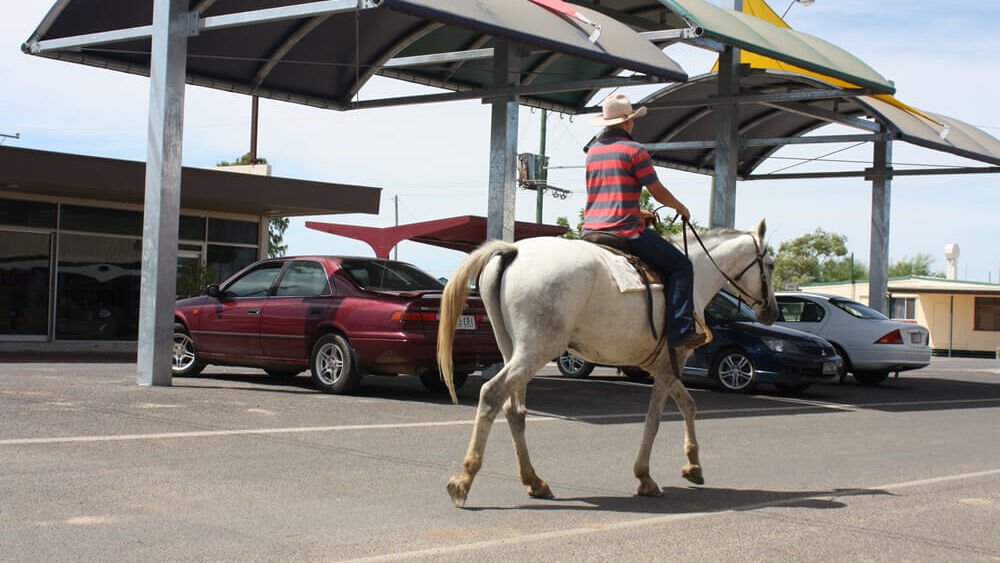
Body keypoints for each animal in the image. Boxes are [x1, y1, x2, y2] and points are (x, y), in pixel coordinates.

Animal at [440, 219, 780, 506]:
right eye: (770, 264)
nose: (772, 311)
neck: (695, 273)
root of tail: (514, 250)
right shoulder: (670, 364)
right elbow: (660, 416)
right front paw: (650, 476)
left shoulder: (661, 366)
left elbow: (685, 405)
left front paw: (688, 466)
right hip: (535, 351)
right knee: (492, 394)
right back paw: (464, 479)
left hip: (514, 350)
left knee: (514, 410)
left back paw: (534, 481)